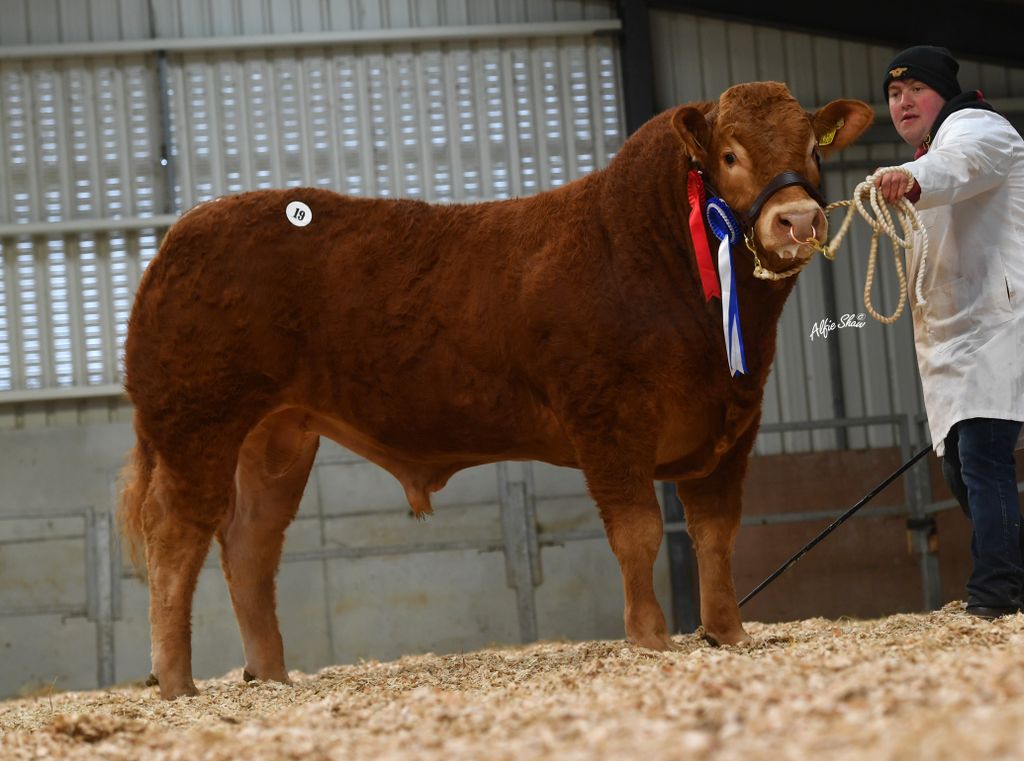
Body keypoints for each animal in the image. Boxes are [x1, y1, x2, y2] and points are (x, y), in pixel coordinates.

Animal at [119, 81, 873, 699]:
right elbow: (638, 530)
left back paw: (271, 674)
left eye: (812, 147)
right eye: (730, 155)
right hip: (194, 422)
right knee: (176, 536)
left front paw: (728, 634)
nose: (797, 220)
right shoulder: (608, 416)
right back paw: (177, 682)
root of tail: (181, 235)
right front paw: (651, 638)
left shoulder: (734, 420)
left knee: (250, 543)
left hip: (277, 435)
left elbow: (716, 534)